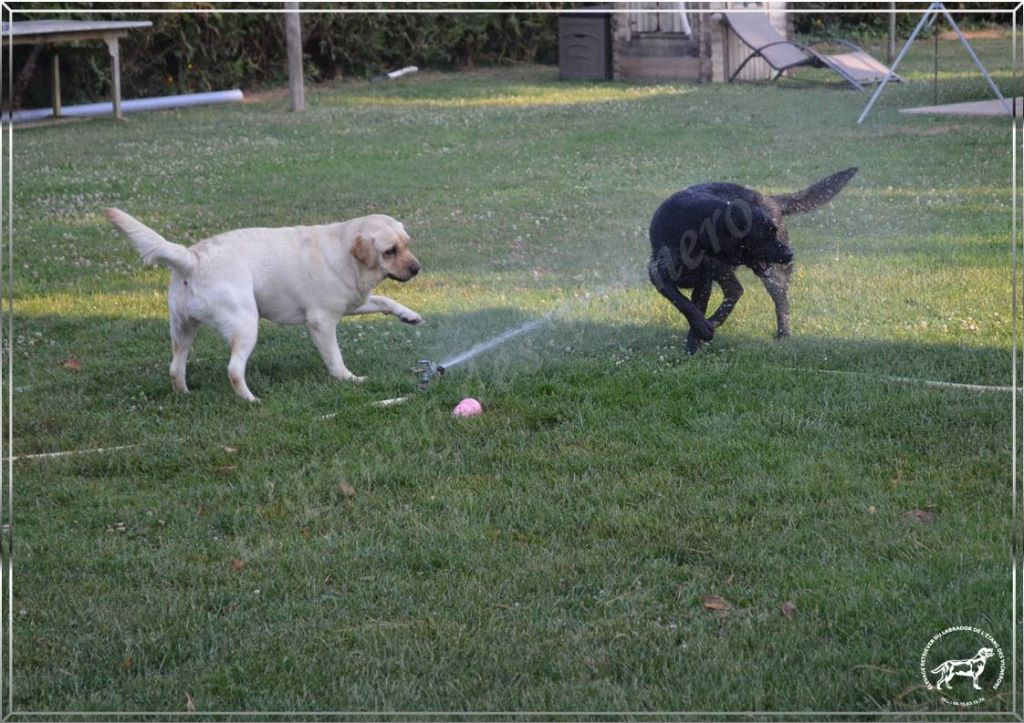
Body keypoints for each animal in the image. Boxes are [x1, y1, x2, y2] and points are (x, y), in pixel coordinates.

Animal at [105, 206, 421, 399]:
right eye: (390, 251)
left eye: (407, 244)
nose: (417, 269)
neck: (344, 251)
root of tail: (193, 258)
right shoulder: (321, 321)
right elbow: (335, 358)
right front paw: (348, 379)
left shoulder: (352, 303)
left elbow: (385, 299)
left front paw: (409, 315)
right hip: (246, 325)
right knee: (233, 370)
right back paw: (251, 400)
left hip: (183, 330)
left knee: (175, 368)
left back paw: (184, 394)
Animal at [647, 166, 856, 352]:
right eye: (764, 236)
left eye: (774, 232)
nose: (790, 254)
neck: (700, 235)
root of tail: (768, 198)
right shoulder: (658, 274)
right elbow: (684, 303)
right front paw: (699, 336)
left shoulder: (704, 283)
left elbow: (696, 307)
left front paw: (695, 343)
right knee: (735, 291)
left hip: (770, 275)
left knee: (773, 301)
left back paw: (782, 334)